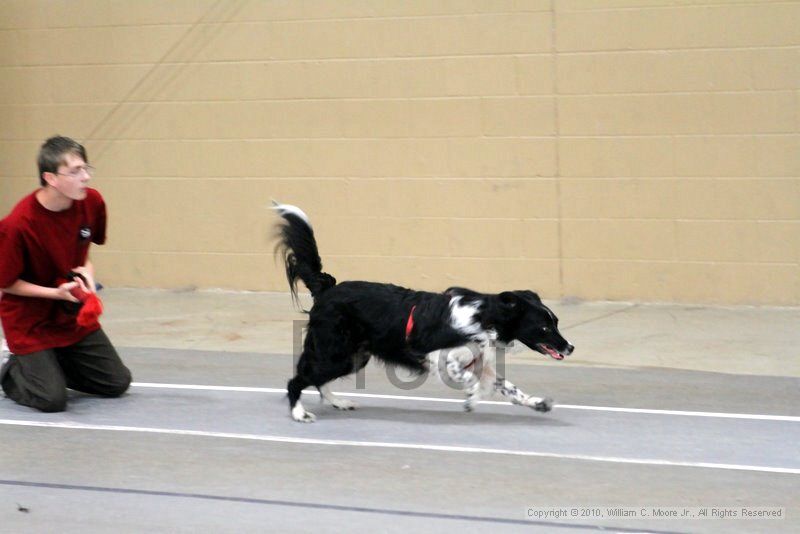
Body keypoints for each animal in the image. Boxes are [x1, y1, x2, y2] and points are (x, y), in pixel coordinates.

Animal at [276, 204, 576, 422]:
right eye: (545, 327)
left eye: (556, 322)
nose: (570, 347)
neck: (483, 318)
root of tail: (327, 289)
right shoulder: (441, 358)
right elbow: (471, 381)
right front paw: (471, 398)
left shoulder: (482, 363)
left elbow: (509, 387)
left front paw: (537, 403)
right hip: (335, 352)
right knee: (298, 379)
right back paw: (299, 413)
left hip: (353, 356)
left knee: (318, 380)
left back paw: (337, 402)